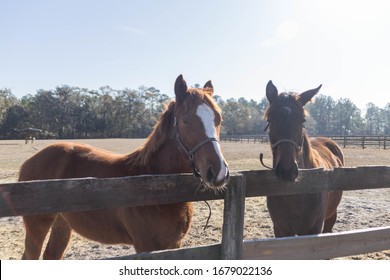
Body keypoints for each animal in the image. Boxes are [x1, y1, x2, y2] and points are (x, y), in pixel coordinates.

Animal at [18, 75, 230, 260]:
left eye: (218, 119)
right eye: (185, 120)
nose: (218, 172)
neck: (156, 185)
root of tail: (30, 162)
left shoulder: (174, 245)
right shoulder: (146, 246)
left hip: (62, 224)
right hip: (37, 226)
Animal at [264, 81, 342, 236]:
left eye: (302, 120)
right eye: (270, 120)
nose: (287, 171)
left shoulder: (313, 229)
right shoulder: (280, 230)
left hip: (331, 217)